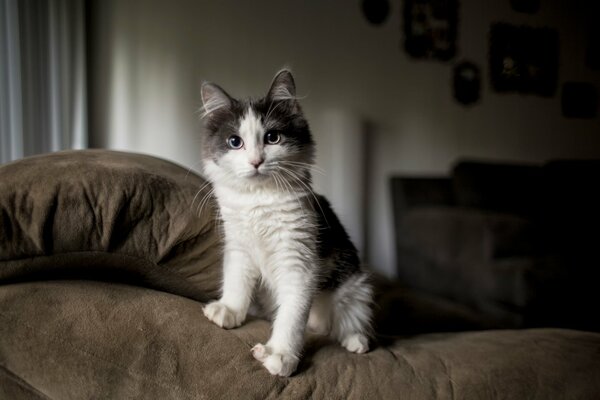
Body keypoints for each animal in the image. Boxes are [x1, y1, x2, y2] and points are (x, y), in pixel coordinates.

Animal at [199, 70, 372, 376]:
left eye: (272, 137)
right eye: (235, 142)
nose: (256, 161)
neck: (258, 199)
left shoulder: (299, 260)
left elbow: (292, 315)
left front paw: (281, 355)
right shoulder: (239, 247)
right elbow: (236, 281)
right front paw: (230, 310)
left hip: (352, 285)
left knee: (346, 319)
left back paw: (355, 340)